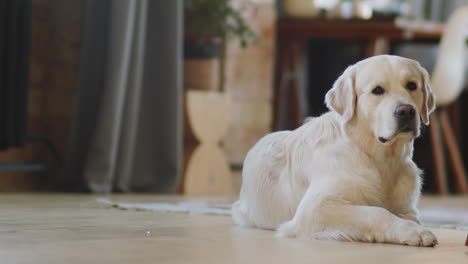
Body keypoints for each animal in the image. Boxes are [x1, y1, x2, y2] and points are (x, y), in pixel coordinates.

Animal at [234, 54, 438, 246]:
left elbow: (409, 217)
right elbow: (378, 213)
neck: (380, 158)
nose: (406, 111)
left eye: (412, 85)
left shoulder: (406, 208)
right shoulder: (315, 209)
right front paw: (414, 232)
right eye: (378, 90)